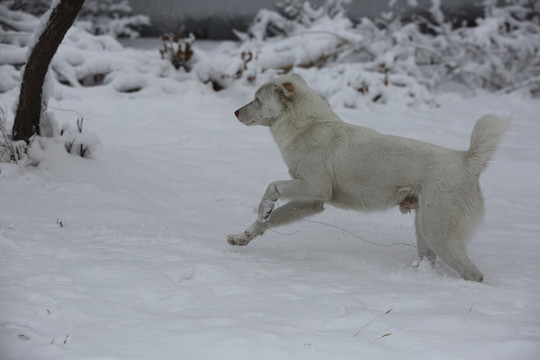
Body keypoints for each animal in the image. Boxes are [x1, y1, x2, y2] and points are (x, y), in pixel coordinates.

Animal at [227, 74, 506, 282]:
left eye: (257, 99)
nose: (235, 112)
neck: (308, 126)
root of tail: (466, 160)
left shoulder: (314, 186)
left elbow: (272, 187)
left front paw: (264, 207)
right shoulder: (312, 201)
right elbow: (268, 221)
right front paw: (243, 236)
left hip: (439, 233)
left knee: (474, 275)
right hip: (425, 230)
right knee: (429, 260)